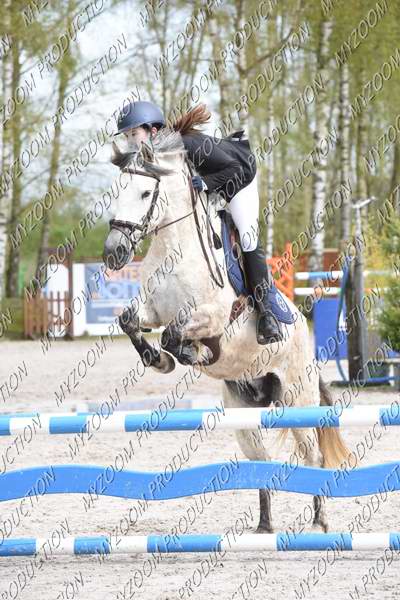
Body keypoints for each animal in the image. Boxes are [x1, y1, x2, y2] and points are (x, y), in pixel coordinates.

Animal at [102, 127, 349, 533]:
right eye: (116, 190)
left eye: (144, 193)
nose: (113, 253)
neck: (174, 248)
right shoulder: (150, 309)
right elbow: (129, 321)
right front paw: (157, 360)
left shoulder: (214, 316)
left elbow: (174, 333)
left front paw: (187, 352)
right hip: (245, 409)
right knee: (260, 463)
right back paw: (264, 527)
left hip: (298, 398)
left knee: (313, 455)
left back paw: (319, 523)